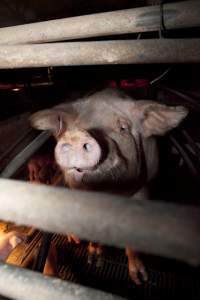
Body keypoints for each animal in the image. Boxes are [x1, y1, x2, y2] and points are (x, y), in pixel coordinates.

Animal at [29, 88, 188, 284]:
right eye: (77, 126)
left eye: (123, 128)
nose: (76, 136)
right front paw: (94, 259)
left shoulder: (144, 187)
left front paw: (140, 279)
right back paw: (75, 240)